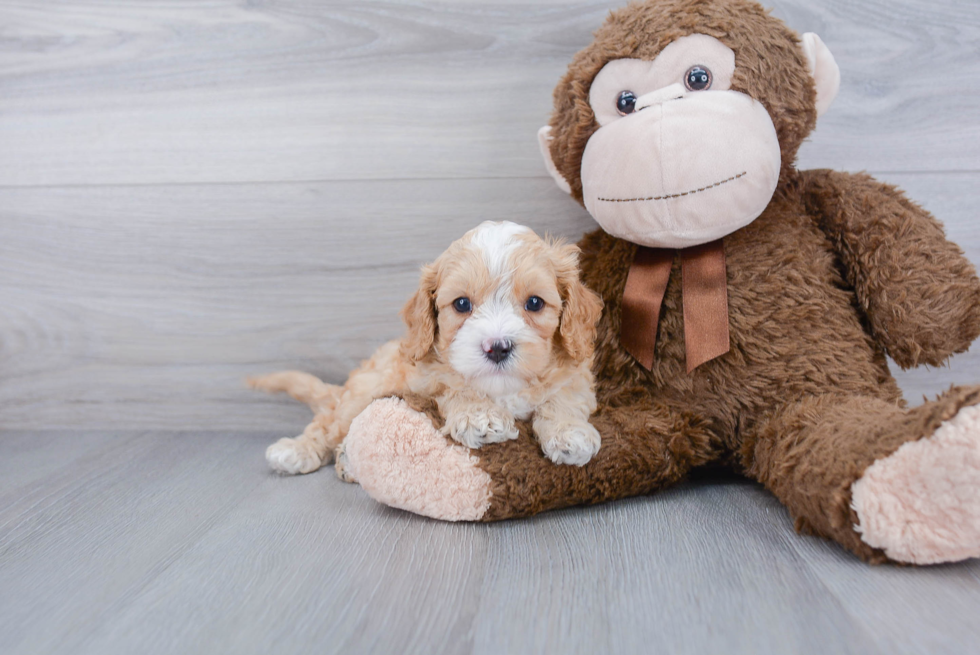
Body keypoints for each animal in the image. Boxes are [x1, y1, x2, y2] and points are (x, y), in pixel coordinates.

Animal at [251, 220, 604, 476]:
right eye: (461, 304)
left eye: (534, 303)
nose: (497, 348)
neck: (502, 388)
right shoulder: (428, 378)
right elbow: (457, 386)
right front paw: (480, 417)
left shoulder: (574, 376)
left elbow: (563, 399)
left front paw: (569, 432)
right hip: (367, 390)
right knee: (330, 424)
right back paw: (297, 451)